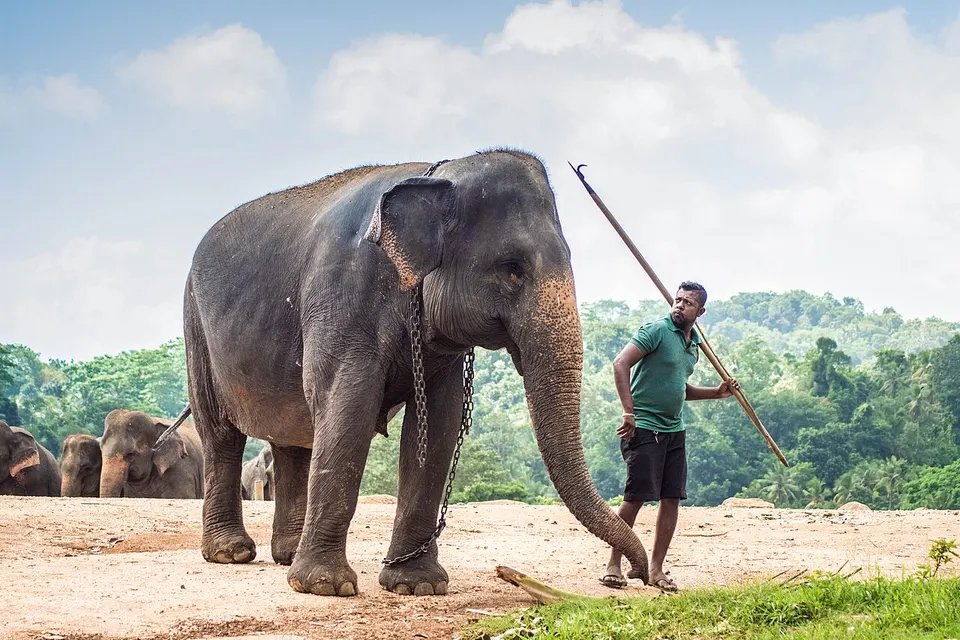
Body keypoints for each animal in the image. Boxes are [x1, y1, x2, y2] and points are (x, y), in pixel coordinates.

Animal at [183, 148, 649, 598]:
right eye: (512, 268)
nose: (641, 576)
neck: (441, 173)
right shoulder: (342, 297)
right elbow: (347, 408)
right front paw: (325, 587)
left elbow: (440, 424)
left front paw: (418, 585)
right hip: (195, 328)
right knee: (221, 433)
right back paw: (232, 553)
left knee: (293, 438)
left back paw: (286, 556)